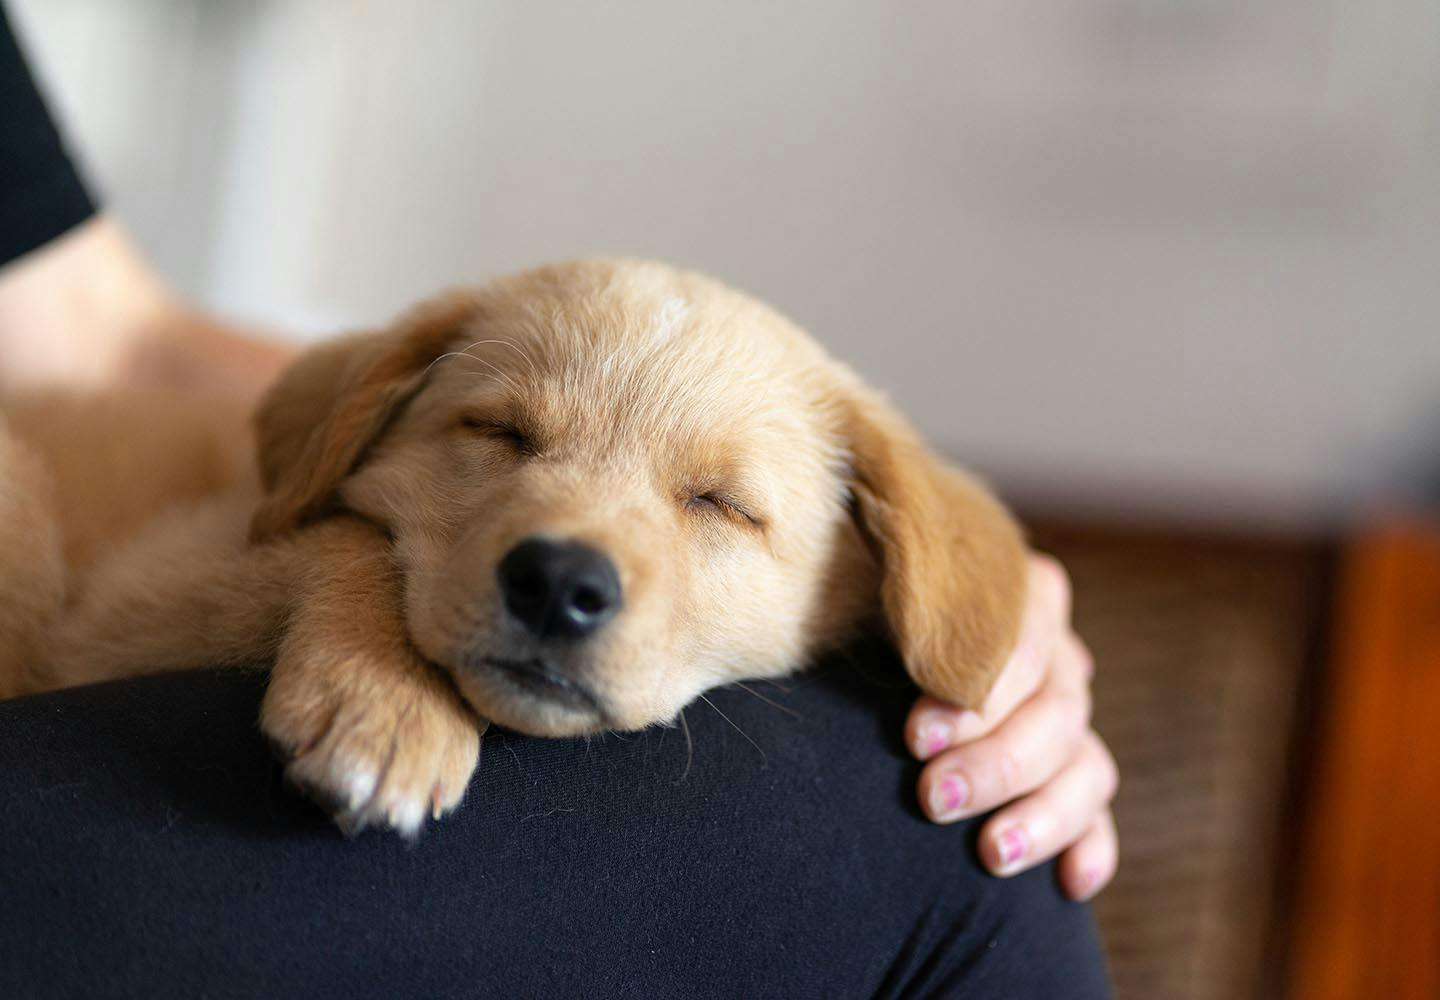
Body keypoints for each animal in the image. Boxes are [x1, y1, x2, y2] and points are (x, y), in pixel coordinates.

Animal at [2, 260, 1036, 835]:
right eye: (498, 432)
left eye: (722, 504)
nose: (558, 585)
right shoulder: (130, 598)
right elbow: (354, 535)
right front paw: (385, 704)